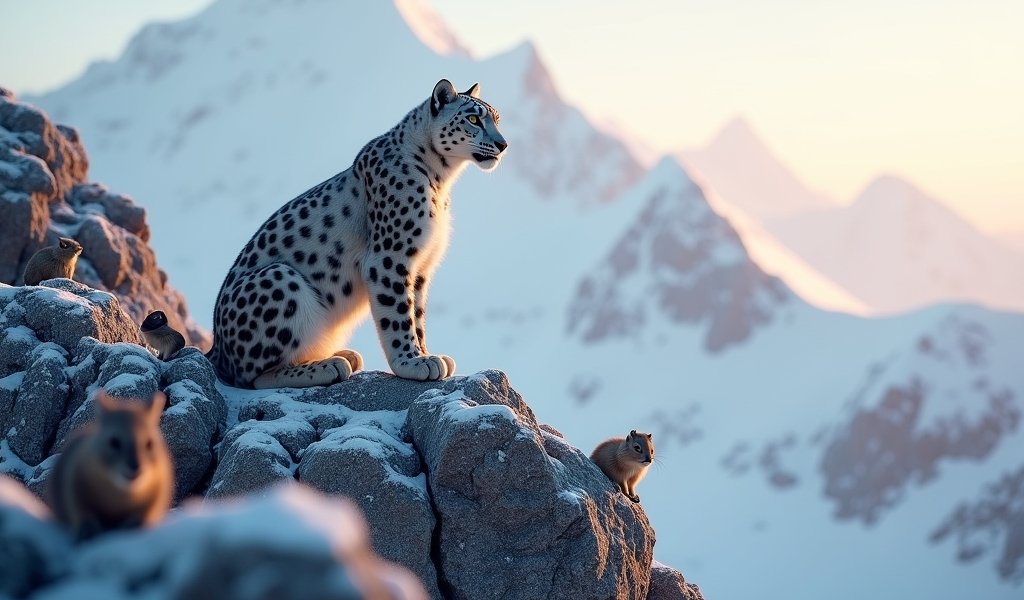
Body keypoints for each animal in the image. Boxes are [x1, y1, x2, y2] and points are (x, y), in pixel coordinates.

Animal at [207, 79, 507, 389]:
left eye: (497, 119)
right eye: (473, 119)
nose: (503, 144)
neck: (441, 182)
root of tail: (217, 347)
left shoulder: (421, 266)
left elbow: (417, 314)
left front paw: (426, 353)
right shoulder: (391, 257)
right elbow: (398, 314)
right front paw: (412, 362)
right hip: (279, 279)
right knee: (252, 375)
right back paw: (328, 366)